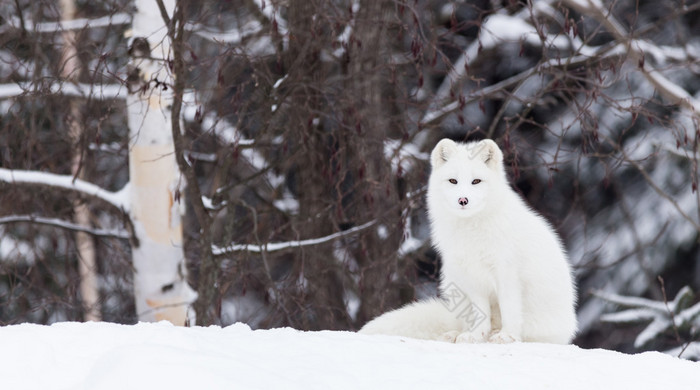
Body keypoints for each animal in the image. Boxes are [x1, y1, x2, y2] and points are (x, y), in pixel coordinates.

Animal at [358, 139, 576, 342]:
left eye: (476, 181)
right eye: (453, 181)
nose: (463, 200)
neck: (472, 232)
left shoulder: (506, 274)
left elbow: (510, 309)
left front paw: (507, 336)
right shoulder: (473, 276)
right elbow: (481, 313)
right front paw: (476, 335)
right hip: (453, 278)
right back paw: (458, 335)